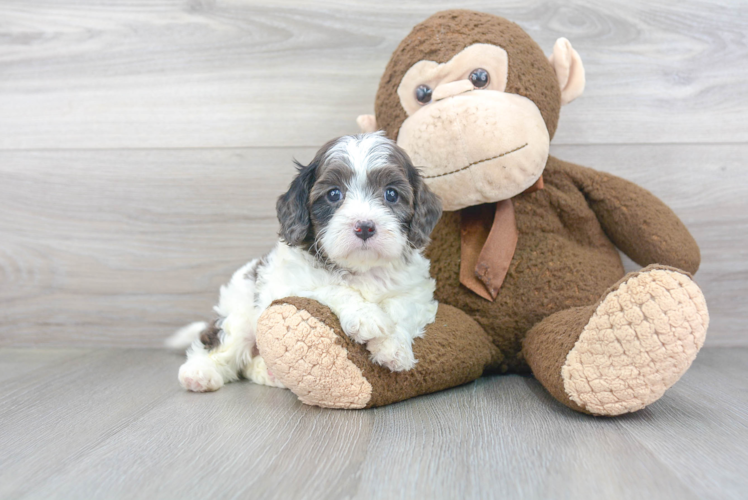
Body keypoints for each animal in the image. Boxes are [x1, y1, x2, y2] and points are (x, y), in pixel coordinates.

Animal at [167, 133, 442, 390]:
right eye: (334, 194)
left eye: (391, 194)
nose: (364, 227)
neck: (359, 269)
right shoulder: (288, 286)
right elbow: (331, 289)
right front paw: (366, 316)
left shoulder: (418, 292)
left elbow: (401, 308)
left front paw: (393, 348)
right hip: (240, 312)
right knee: (221, 340)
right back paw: (199, 372)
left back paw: (269, 373)